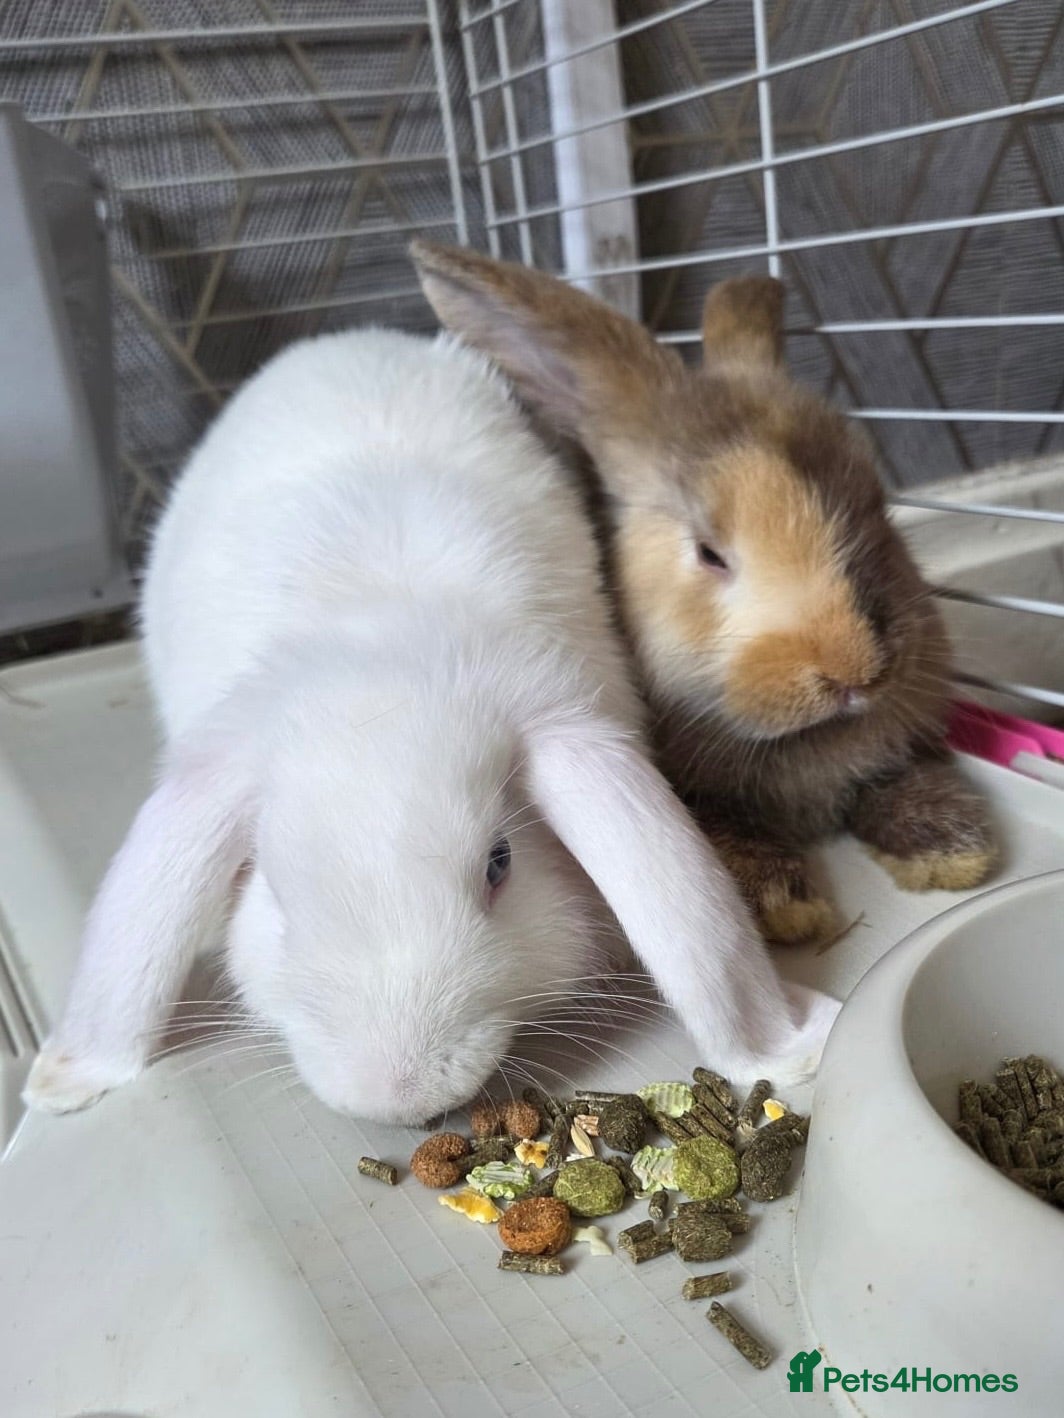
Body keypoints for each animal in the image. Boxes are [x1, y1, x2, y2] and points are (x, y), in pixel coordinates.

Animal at [410, 241, 997, 946]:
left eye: (878, 508)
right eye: (710, 553)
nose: (855, 674)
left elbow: (906, 780)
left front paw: (953, 854)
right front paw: (786, 905)